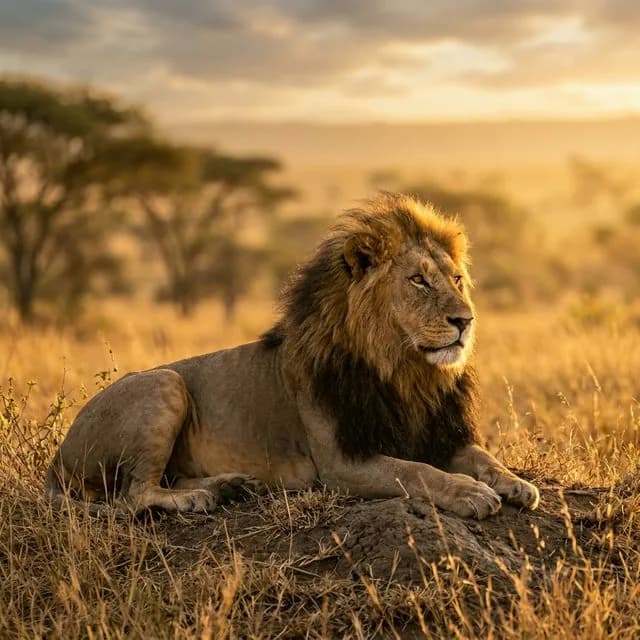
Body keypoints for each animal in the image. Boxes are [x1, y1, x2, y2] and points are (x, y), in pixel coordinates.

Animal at [46, 193, 539, 519]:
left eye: (456, 279)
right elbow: (417, 472)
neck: (404, 373)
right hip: (164, 382)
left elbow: (484, 457)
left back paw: (229, 486)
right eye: (418, 281)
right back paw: (196, 498)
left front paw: (516, 484)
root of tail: (56, 458)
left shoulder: (439, 434)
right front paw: (470, 493)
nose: (465, 320)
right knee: (134, 494)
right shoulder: (342, 462)